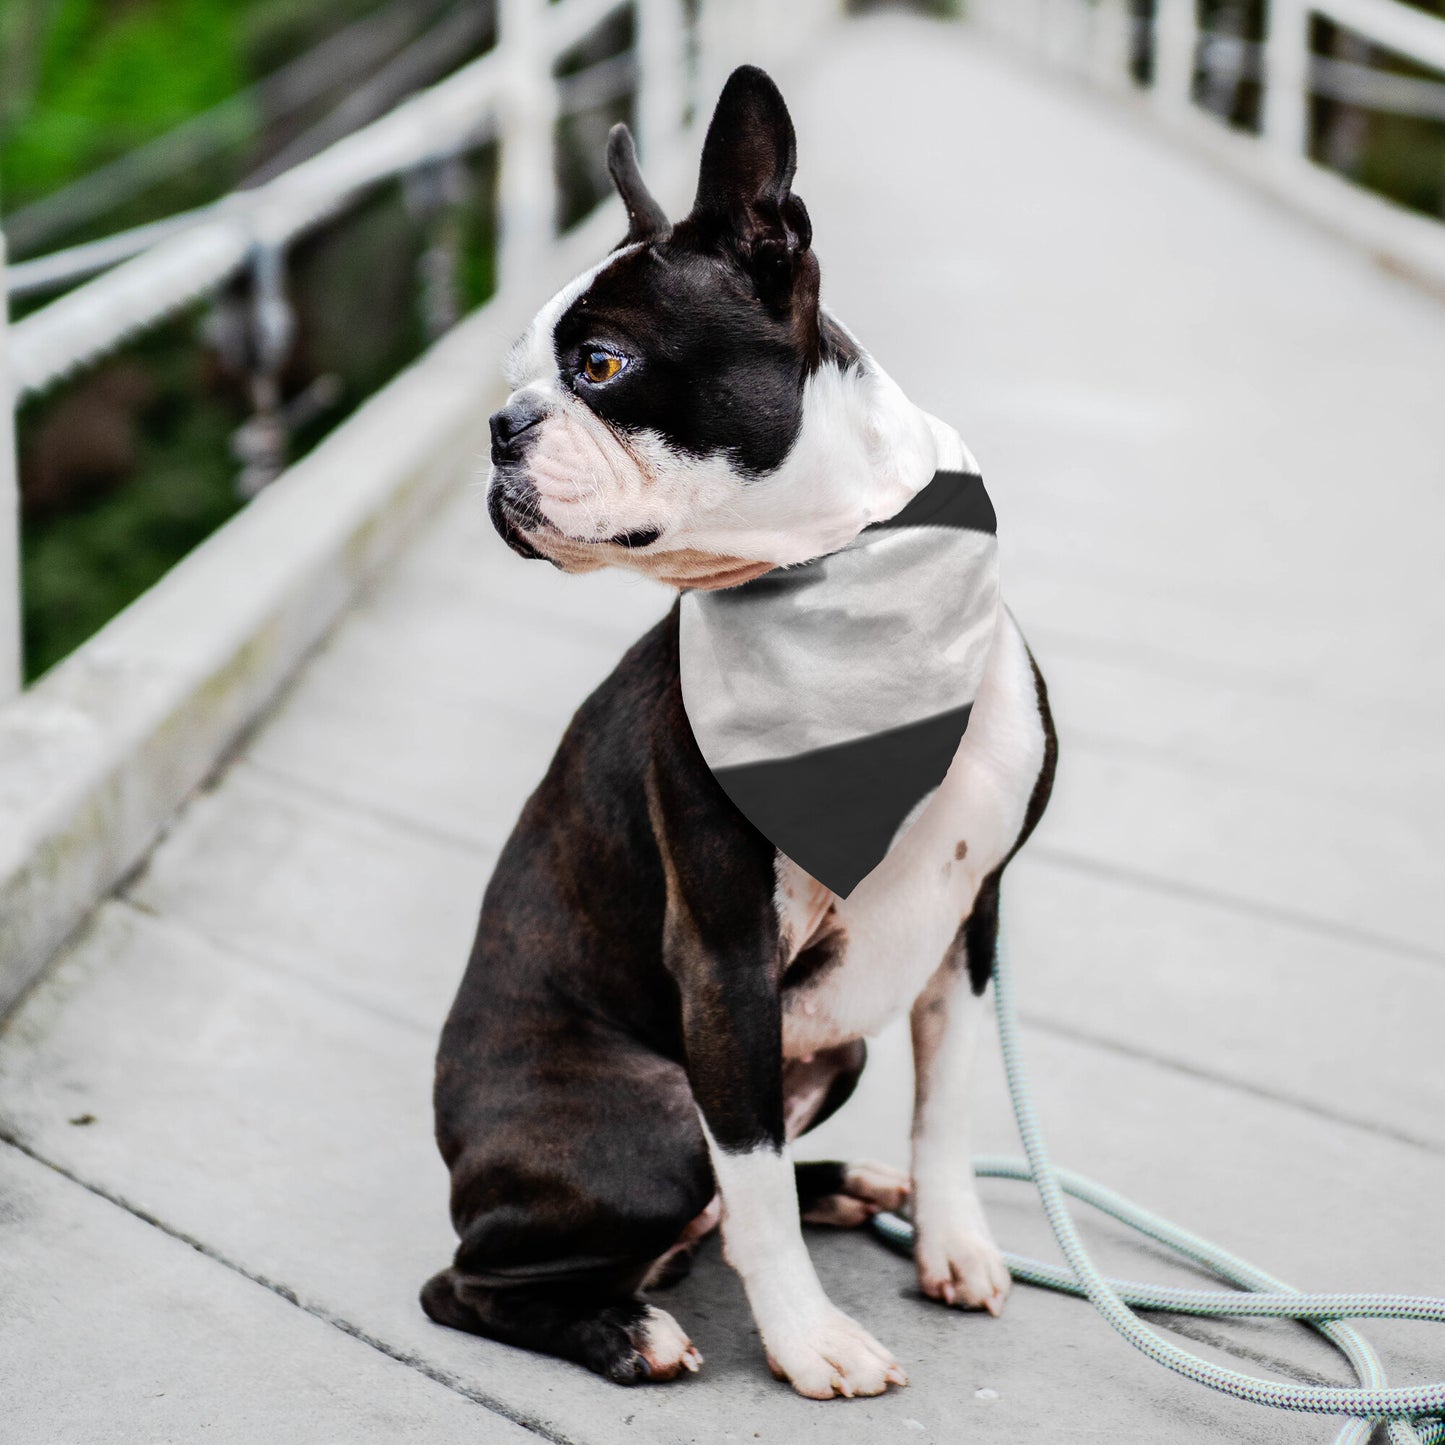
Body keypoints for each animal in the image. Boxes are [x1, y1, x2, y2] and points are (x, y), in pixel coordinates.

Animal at [421, 65, 1057, 1398]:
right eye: (521, 373)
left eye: (599, 364)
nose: (500, 426)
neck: (838, 570)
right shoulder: (724, 957)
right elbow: (750, 1175)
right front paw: (809, 1338)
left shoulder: (968, 924)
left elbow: (946, 1105)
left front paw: (952, 1237)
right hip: (654, 1115)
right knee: (478, 1277)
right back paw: (625, 1327)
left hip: (832, 1050)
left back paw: (849, 1185)